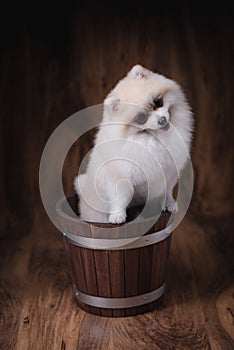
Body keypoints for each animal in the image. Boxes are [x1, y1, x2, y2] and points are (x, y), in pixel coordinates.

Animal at [74, 64, 193, 223]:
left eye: (158, 102)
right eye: (141, 118)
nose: (162, 120)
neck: (151, 138)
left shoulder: (170, 172)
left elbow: (167, 191)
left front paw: (169, 204)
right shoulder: (120, 177)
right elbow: (120, 198)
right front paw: (117, 216)